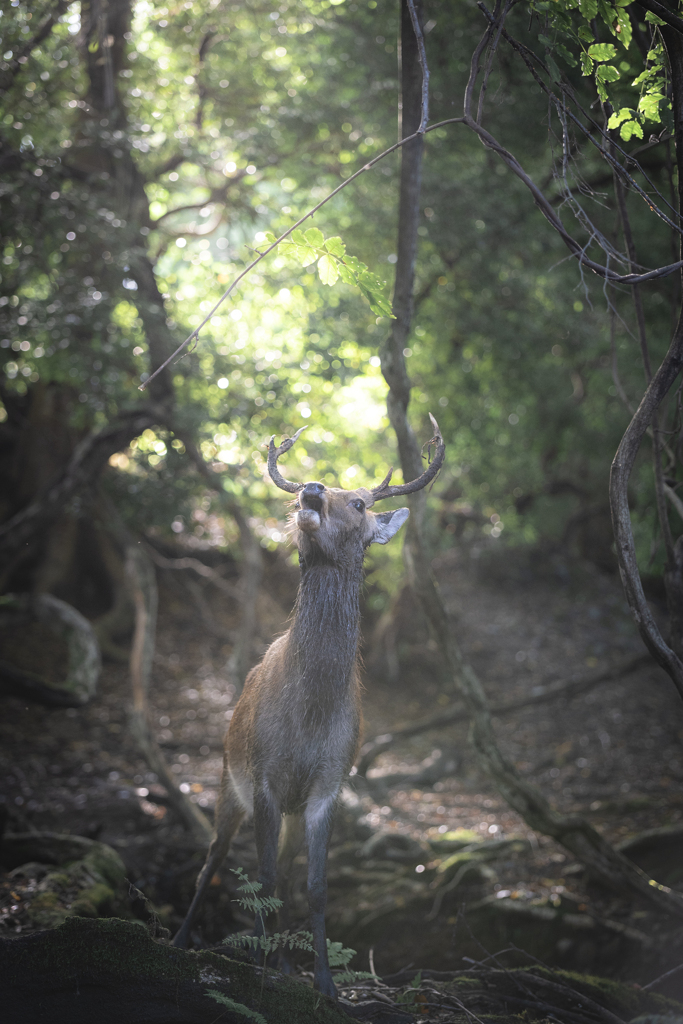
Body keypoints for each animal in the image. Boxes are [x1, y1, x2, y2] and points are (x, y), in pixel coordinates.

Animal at [174, 413, 446, 999]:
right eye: (307, 485)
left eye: (361, 503)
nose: (313, 491)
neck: (313, 714)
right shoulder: (264, 778)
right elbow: (262, 876)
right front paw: (262, 965)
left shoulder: (328, 784)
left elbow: (316, 886)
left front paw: (322, 981)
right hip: (228, 779)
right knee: (214, 861)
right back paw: (186, 939)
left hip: (288, 811)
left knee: (279, 871)